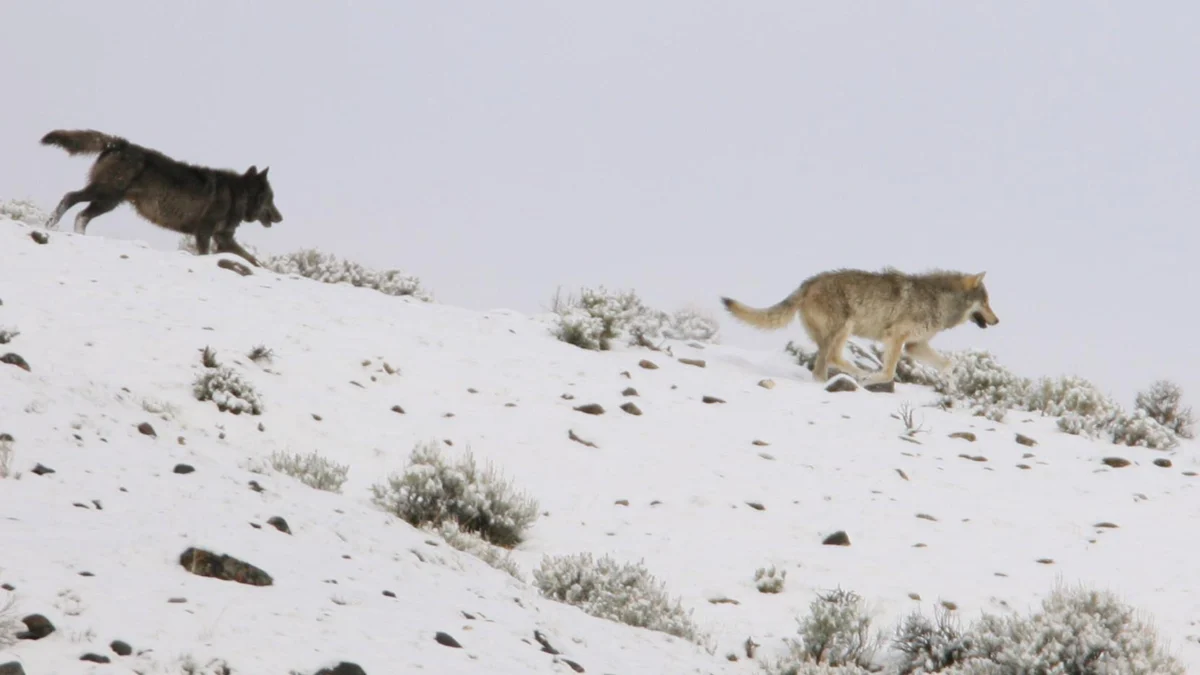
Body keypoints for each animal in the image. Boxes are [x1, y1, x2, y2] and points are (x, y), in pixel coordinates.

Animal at [40, 129, 282, 267]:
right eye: (271, 199)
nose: (281, 218)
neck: (235, 194)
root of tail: (121, 143)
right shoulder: (204, 233)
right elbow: (206, 254)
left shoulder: (224, 239)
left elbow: (251, 259)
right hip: (104, 194)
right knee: (70, 197)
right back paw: (51, 223)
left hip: (108, 202)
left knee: (82, 215)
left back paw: (80, 236)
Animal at [721, 268, 1000, 385]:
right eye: (986, 302)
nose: (998, 321)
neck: (939, 300)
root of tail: (808, 283)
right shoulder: (896, 338)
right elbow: (888, 373)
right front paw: (872, 378)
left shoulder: (913, 346)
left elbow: (948, 365)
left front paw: (950, 385)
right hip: (844, 328)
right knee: (831, 360)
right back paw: (859, 374)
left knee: (822, 366)